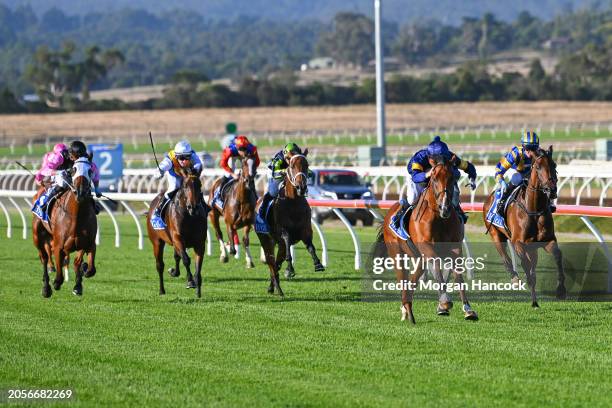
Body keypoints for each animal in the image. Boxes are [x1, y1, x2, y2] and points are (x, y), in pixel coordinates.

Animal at [32, 161, 98, 298]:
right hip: (37, 236)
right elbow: (59, 277)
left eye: (90, 170)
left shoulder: (88, 243)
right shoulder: (58, 245)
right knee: (44, 258)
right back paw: (46, 288)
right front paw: (56, 282)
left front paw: (78, 285)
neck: (76, 216)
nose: (80, 192)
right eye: (73, 170)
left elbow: (88, 268)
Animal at [147, 167, 209, 298]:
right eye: (185, 185)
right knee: (160, 265)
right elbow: (186, 259)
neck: (190, 217)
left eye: (200, 185)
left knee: (176, 256)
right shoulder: (178, 238)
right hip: (157, 242)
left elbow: (198, 265)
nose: (193, 207)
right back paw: (162, 290)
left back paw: (174, 272)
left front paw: (198, 291)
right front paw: (190, 281)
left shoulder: (200, 243)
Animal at [256, 151, 328, 294]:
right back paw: (278, 289)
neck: (293, 203)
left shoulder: (306, 230)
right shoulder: (283, 230)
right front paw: (289, 270)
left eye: (307, 165)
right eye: (292, 165)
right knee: (271, 261)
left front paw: (318, 264)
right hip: (265, 238)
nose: (301, 186)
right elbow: (287, 241)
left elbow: (310, 247)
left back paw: (273, 287)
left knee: (276, 263)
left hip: (278, 244)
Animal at [372, 159, 478, 326]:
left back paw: (407, 309)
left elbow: (458, 276)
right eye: (434, 179)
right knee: (403, 279)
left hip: (418, 258)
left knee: (413, 280)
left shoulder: (455, 248)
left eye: (453, 178)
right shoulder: (427, 247)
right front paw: (444, 303)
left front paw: (468, 310)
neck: (440, 219)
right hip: (397, 253)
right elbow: (436, 267)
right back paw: (407, 309)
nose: (445, 207)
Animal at [482, 145, 564, 308]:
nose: (551, 190)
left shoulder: (547, 240)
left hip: (532, 248)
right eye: (538, 167)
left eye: (554, 165)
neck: (533, 209)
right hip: (496, 235)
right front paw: (534, 299)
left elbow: (558, 256)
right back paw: (514, 279)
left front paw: (561, 290)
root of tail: (490, 197)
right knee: (506, 258)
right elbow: (525, 265)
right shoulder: (518, 243)